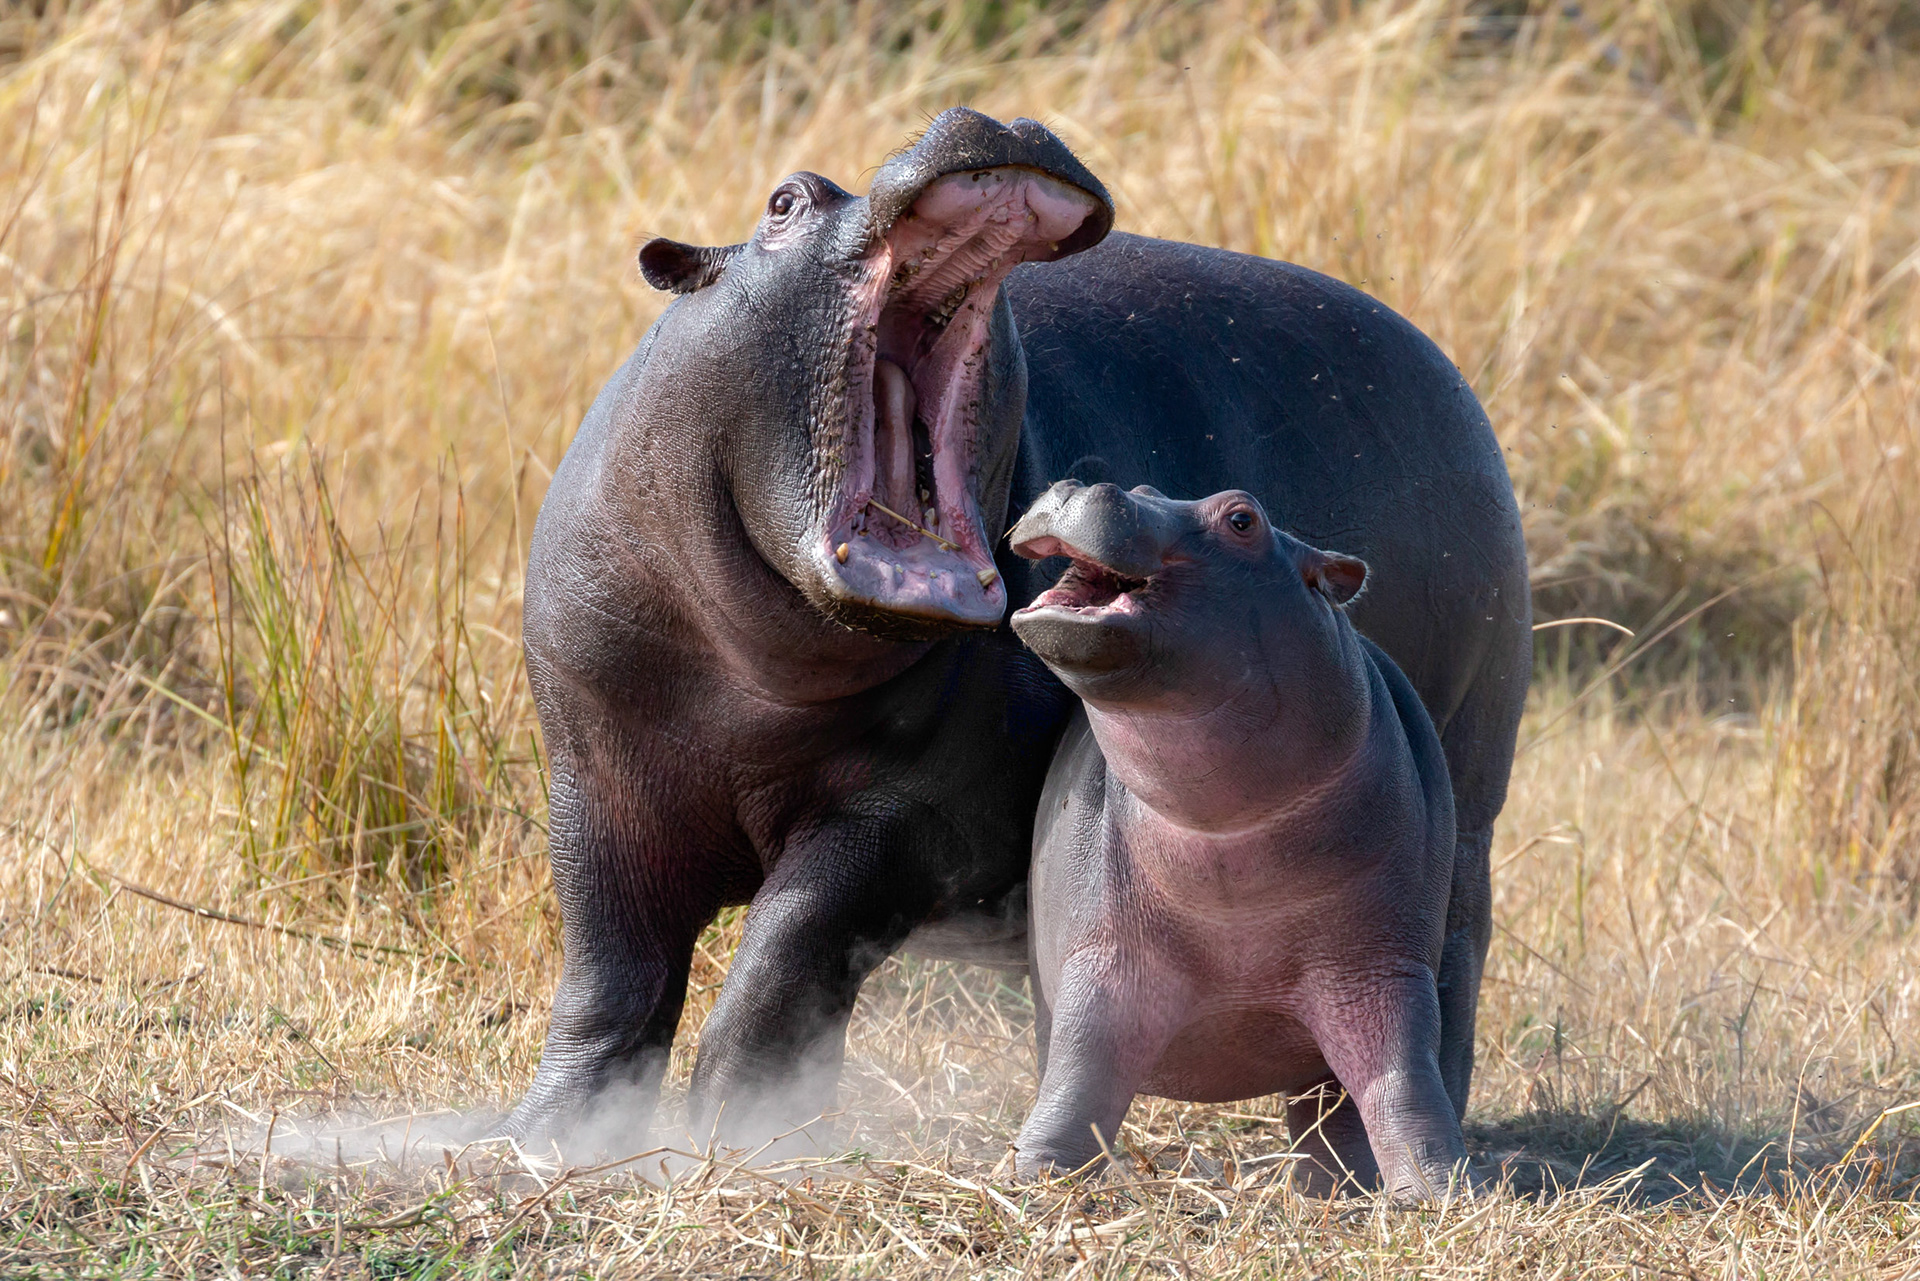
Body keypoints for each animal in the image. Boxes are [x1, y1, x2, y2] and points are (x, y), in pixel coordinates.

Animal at [1006, 481, 1468, 1201]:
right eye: (1145, 490)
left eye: (1243, 519)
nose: (1080, 485)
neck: (1225, 838)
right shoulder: (1107, 958)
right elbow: (1080, 1070)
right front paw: (1039, 1178)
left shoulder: (1383, 969)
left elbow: (1402, 1079)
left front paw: (1438, 1191)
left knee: (1333, 1107)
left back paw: (1337, 1190)